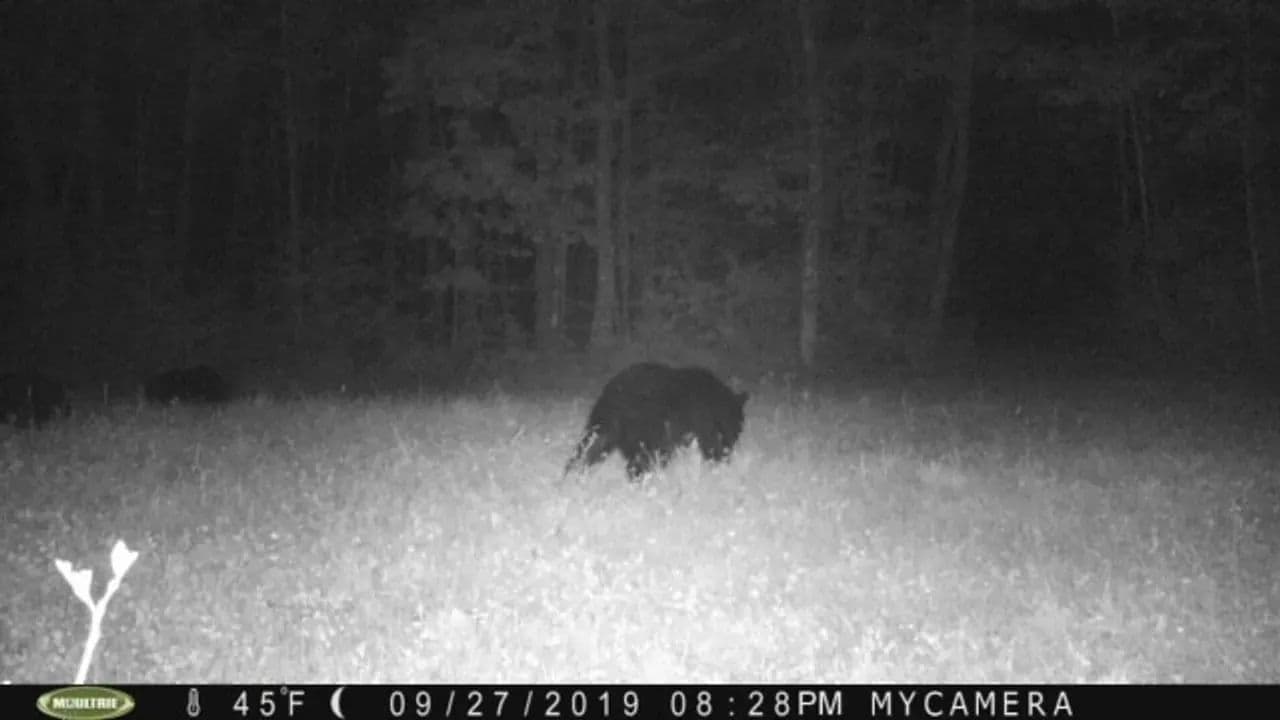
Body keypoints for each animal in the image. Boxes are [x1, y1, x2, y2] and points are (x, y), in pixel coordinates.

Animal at [564, 362, 748, 482]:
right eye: (736, 426)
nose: (732, 445)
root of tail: (611, 397)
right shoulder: (701, 420)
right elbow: (709, 444)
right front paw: (718, 465)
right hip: (645, 428)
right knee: (640, 459)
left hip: (606, 427)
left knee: (593, 448)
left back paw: (579, 473)